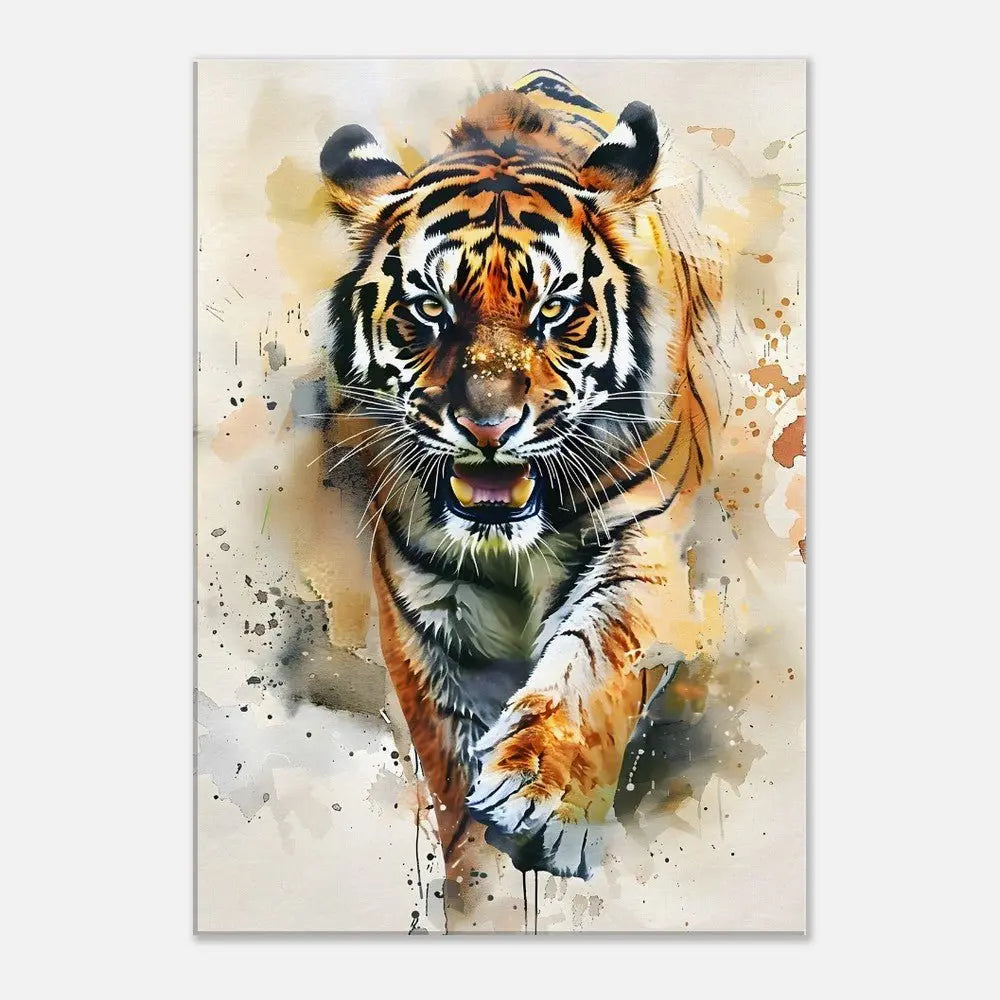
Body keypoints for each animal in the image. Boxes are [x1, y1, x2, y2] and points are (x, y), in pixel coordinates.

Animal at [318, 68, 732, 880]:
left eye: (555, 310)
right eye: (430, 309)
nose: (488, 426)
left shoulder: (642, 543)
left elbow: (598, 658)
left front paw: (541, 791)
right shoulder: (427, 602)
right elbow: (446, 749)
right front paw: (471, 855)